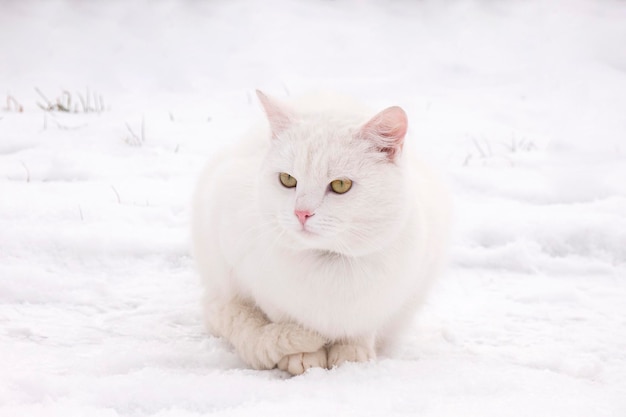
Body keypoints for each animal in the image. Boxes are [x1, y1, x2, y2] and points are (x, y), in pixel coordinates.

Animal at [191, 90, 448, 374]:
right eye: (287, 180)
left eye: (340, 185)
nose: (301, 213)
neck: (330, 264)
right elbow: (287, 321)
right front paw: (303, 356)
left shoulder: (384, 302)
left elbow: (361, 329)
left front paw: (352, 353)